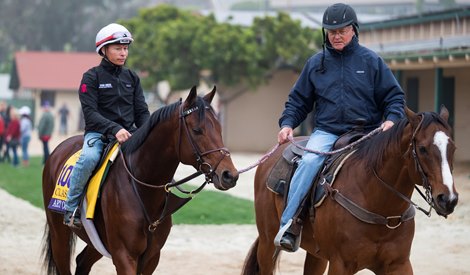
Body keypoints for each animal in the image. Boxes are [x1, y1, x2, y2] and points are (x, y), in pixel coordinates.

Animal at [40, 87, 239, 275]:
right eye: (197, 130)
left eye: (220, 128)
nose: (229, 175)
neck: (142, 189)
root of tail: (57, 150)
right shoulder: (124, 255)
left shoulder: (151, 258)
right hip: (59, 236)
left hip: (97, 241)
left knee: (82, 262)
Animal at [242, 106, 458, 274]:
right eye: (422, 149)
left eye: (453, 148)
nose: (448, 199)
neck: (380, 207)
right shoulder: (341, 265)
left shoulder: (399, 264)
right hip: (267, 243)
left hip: (316, 254)